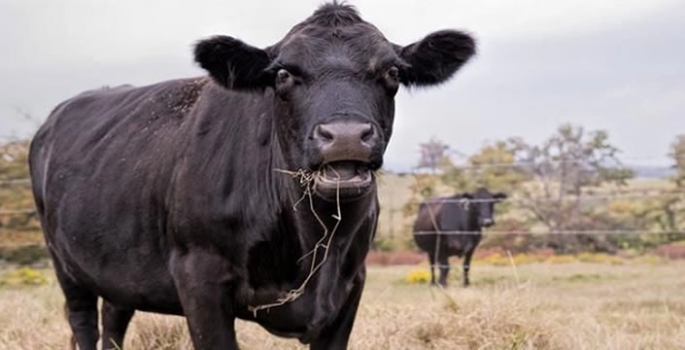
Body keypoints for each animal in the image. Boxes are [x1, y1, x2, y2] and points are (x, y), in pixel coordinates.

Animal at [28, 2, 476, 350]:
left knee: (114, 319)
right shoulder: (200, 279)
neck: (312, 243)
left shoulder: (349, 289)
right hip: (65, 265)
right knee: (84, 323)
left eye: (392, 73)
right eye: (283, 74)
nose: (346, 135)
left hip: (120, 267)